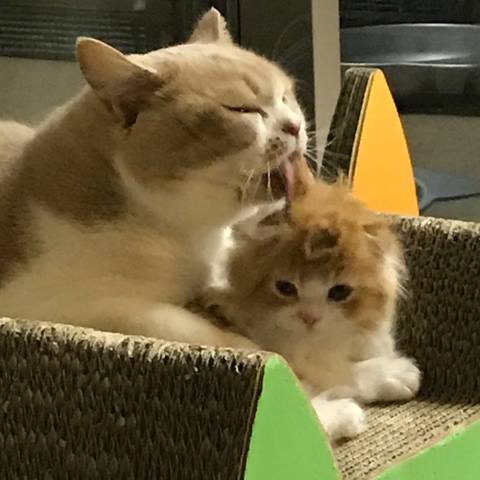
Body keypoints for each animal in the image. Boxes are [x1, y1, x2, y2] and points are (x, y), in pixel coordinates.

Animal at [0, 8, 308, 349]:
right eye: (242, 109)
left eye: (285, 97)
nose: (294, 126)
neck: (189, 237)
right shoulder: (72, 306)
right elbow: (178, 324)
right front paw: (260, 349)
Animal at [201, 157, 420, 440]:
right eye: (285, 287)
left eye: (339, 292)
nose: (309, 317)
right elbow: (336, 373)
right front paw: (400, 373)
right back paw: (348, 414)